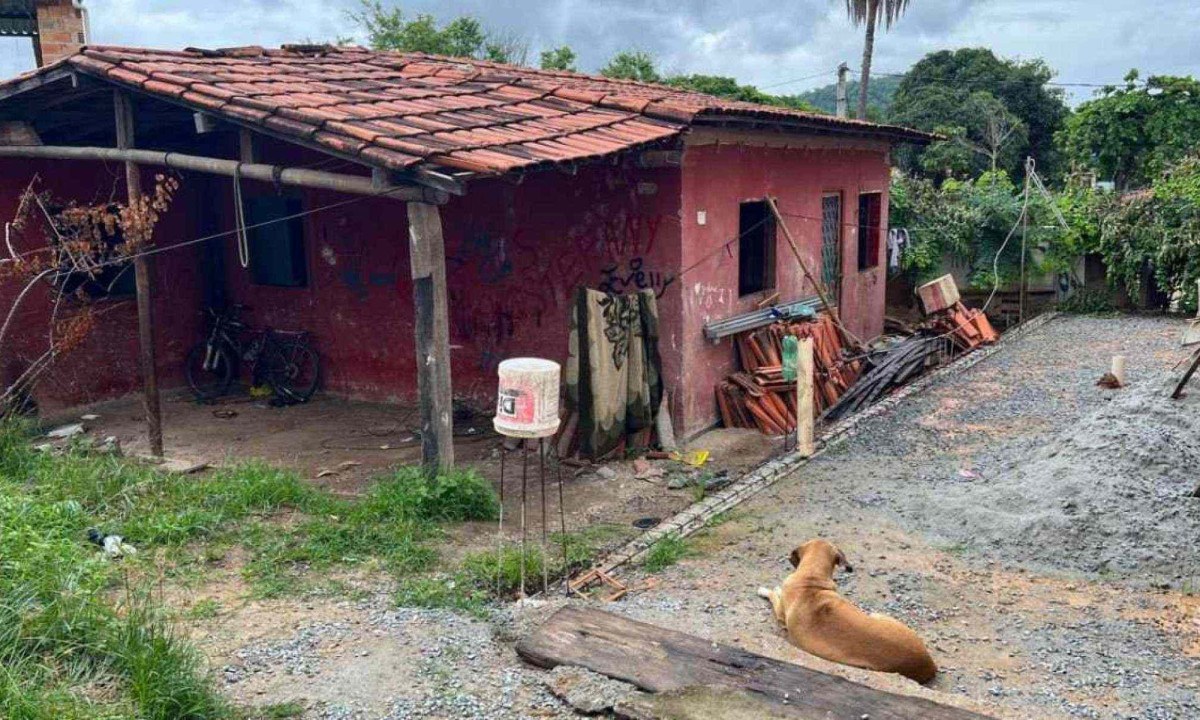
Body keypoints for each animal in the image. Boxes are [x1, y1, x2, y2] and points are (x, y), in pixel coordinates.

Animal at [758, 537, 936, 681]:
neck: (811, 578)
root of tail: (930, 664)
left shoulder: (781, 614)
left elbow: (774, 595)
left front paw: (766, 589)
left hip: (877, 614)